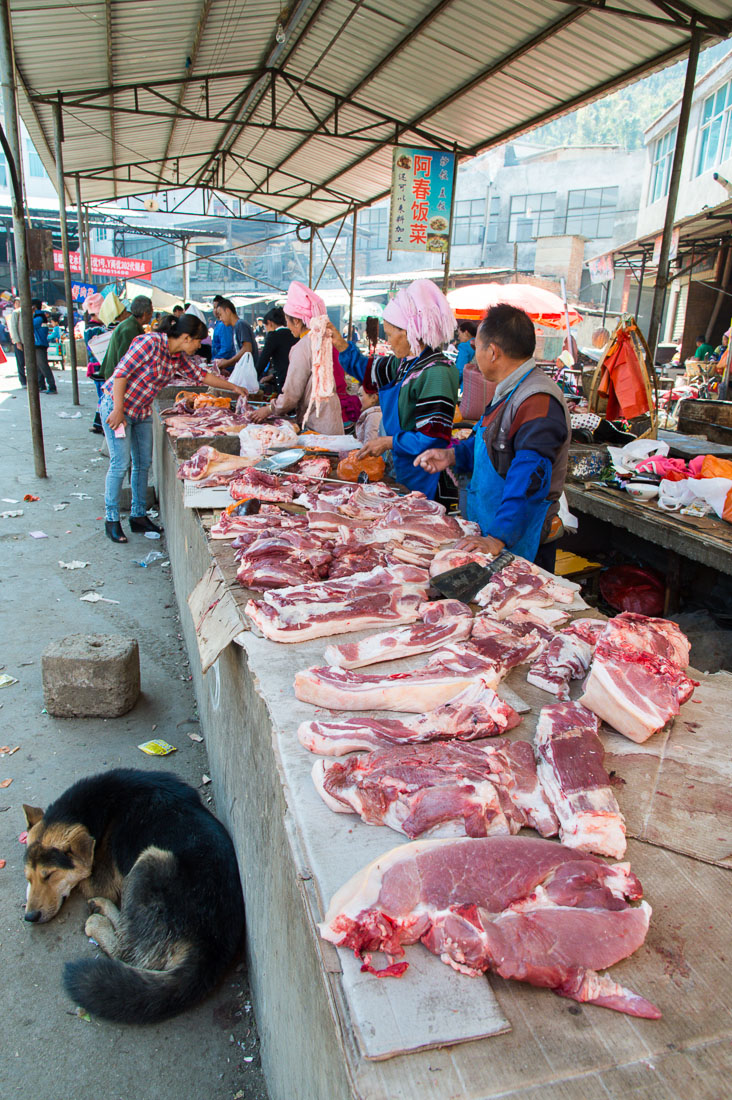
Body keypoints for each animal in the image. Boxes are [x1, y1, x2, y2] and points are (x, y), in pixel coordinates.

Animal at [22, 765, 244, 1020]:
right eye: (28, 876)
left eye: (49, 875)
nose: (30, 917)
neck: (95, 808)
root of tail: (212, 946)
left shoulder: (99, 881)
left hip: (150, 860)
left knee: (125, 951)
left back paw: (100, 918)